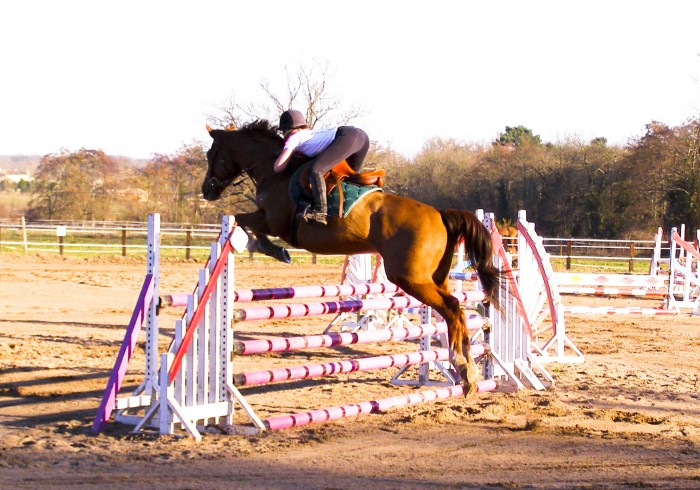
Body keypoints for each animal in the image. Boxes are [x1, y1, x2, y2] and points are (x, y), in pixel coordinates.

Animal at [200, 119, 500, 394]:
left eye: (211, 155)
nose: (206, 190)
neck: (274, 173)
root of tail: (440, 214)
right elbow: (243, 221)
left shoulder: (274, 222)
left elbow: (242, 220)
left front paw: (269, 249)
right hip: (435, 278)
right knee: (456, 311)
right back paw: (470, 371)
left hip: (410, 278)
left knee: (452, 307)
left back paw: (462, 367)